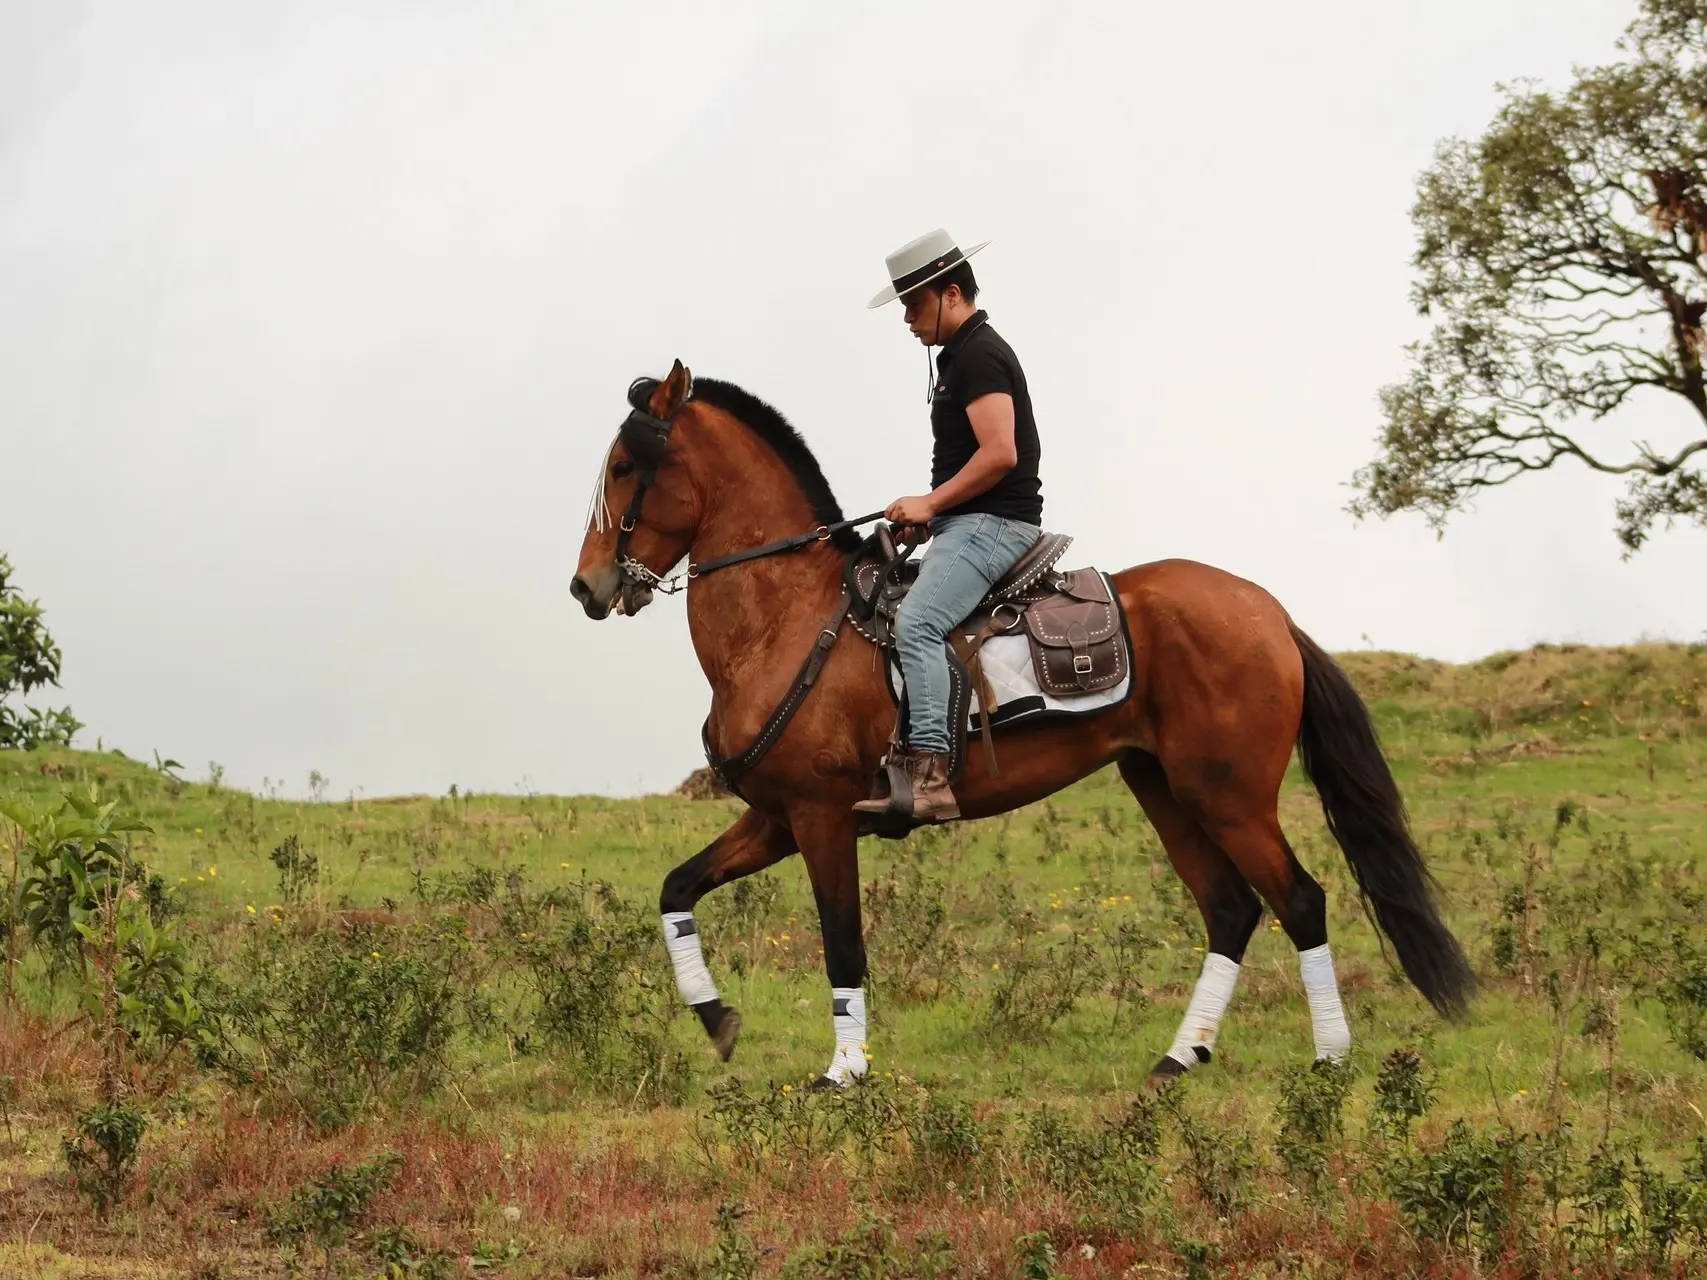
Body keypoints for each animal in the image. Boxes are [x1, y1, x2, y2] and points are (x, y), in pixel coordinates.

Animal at [566, 363, 1474, 1092]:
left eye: (625, 466)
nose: (586, 587)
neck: (787, 616)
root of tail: (1270, 615)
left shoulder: (821, 818)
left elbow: (842, 944)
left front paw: (844, 1071)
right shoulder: (775, 818)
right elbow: (677, 887)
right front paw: (716, 1018)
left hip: (1230, 797)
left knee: (1299, 900)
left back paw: (1328, 1057)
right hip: (1162, 787)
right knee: (1229, 910)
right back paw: (1179, 1057)